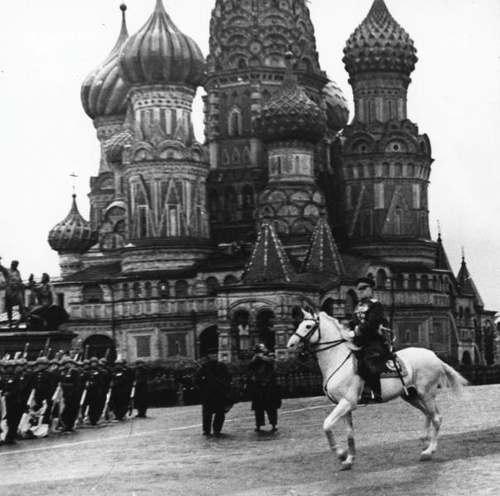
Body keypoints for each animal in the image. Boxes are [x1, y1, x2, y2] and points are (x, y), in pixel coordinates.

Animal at [288, 310, 466, 468]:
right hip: (412, 396)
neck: (337, 360)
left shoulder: (347, 403)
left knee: (436, 417)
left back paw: (429, 451)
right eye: (299, 324)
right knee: (429, 414)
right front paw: (349, 459)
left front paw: (341, 454)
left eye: (308, 326)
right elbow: (349, 434)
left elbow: (326, 425)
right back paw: (424, 441)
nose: (291, 345)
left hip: (426, 393)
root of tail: (434, 356)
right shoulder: (344, 406)